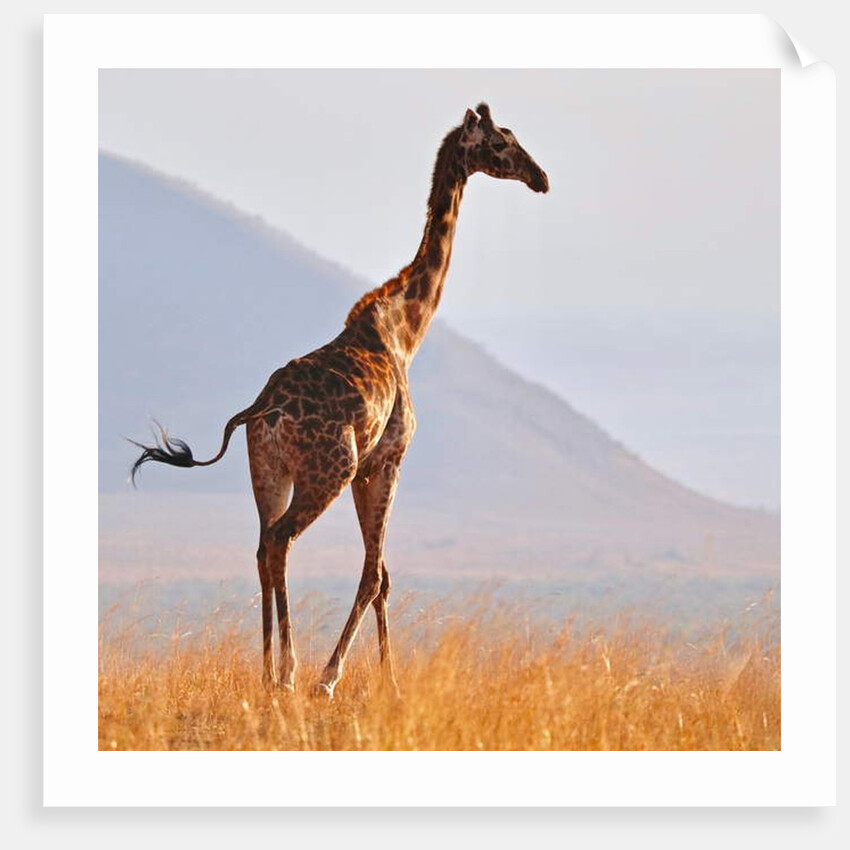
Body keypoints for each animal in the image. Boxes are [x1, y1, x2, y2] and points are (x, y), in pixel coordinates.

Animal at [131, 103, 548, 698]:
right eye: (499, 144)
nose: (541, 178)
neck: (404, 330)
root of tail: (261, 410)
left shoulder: (367, 466)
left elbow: (384, 576)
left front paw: (390, 682)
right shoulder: (387, 457)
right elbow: (374, 574)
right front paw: (334, 678)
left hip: (269, 471)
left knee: (263, 544)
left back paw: (266, 671)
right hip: (329, 468)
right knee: (282, 540)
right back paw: (290, 673)